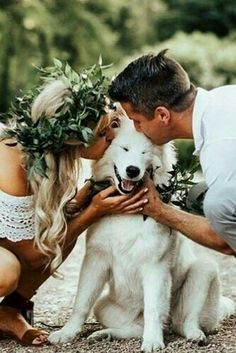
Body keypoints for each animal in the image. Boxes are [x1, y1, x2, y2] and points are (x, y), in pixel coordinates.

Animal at [49, 108, 234, 350]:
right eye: (125, 149)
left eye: (145, 152)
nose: (132, 170)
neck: (127, 214)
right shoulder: (95, 261)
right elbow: (81, 303)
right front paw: (67, 333)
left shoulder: (155, 266)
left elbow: (153, 311)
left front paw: (153, 341)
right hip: (104, 307)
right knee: (136, 328)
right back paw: (105, 334)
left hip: (204, 271)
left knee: (183, 321)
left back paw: (194, 335)